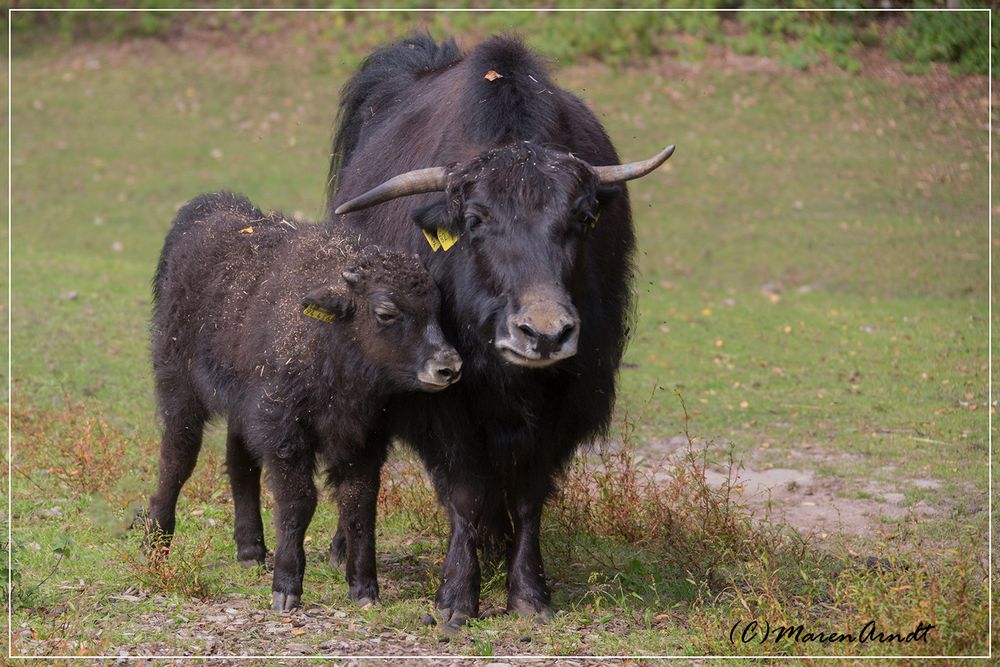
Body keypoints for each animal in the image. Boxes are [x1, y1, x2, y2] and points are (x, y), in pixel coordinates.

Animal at [145, 192, 460, 612]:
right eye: (386, 312)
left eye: (437, 307)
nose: (448, 367)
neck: (329, 334)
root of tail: (204, 212)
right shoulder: (285, 432)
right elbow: (298, 501)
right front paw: (286, 588)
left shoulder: (364, 439)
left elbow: (359, 503)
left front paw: (364, 588)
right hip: (179, 387)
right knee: (177, 458)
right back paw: (156, 543)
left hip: (241, 408)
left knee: (239, 463)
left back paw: (251, 551)